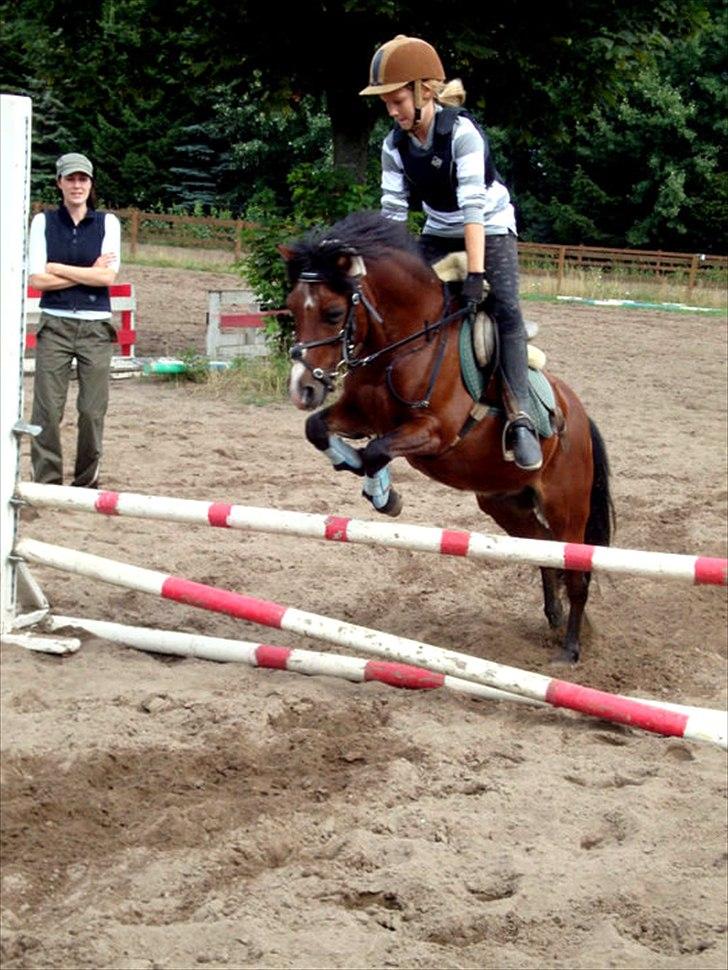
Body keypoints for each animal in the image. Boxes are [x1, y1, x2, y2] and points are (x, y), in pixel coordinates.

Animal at [278, 212, 616, 660]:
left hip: (567, 504)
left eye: (334, 313)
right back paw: (555, 620)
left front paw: (382, 494)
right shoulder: (358, 415)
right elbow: (318, 429)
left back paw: (572, 647)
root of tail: (578, 414)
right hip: (505, 503)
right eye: (293, 308)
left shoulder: (433, 434)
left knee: (576, 568)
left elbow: (375, 452)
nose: (302, 389)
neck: (403, 345)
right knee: (544, 552)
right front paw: (356, 469)